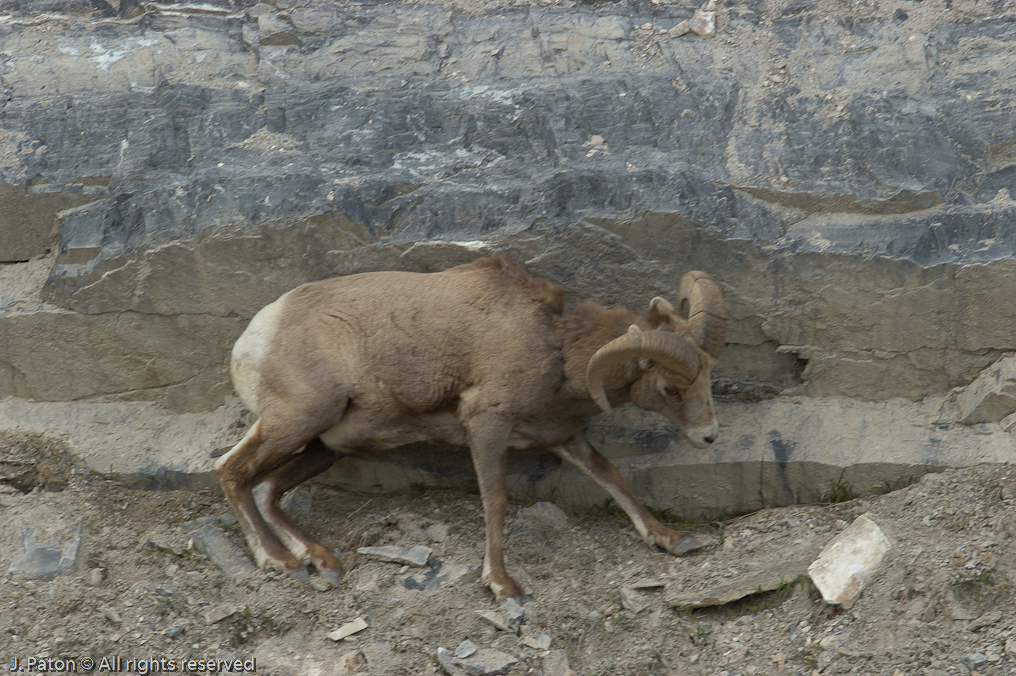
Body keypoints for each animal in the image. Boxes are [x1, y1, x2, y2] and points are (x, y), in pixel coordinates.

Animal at [216, 254, 723, 601]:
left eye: (709, 375)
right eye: (671, 388)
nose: (709, 436)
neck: (554, 350)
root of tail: (252, 340)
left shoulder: (563, 436)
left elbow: (611, 476)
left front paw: (672, 539)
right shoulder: (486, 426)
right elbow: (494, 500)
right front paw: (502, 585)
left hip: (327, 446)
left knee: (268, 490)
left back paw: (321, 560)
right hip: (298, 420)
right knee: (232, 471)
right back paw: (280, 561)